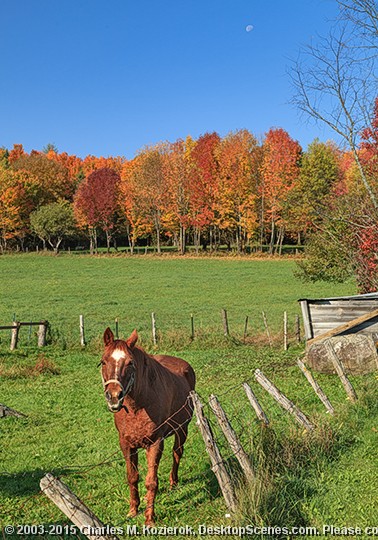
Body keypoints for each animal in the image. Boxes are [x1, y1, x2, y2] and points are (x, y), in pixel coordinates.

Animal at [99, 326, 196, 524]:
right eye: (103, 362)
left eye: (130, 363)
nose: (114, 396)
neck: (138, 407)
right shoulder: (127, 444)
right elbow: (132, 477)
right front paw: (133, 510)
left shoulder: (155, 443)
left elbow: (151, 481)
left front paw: (149, 518)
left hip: (182, 429)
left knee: (177, 453)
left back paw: (173, 482)